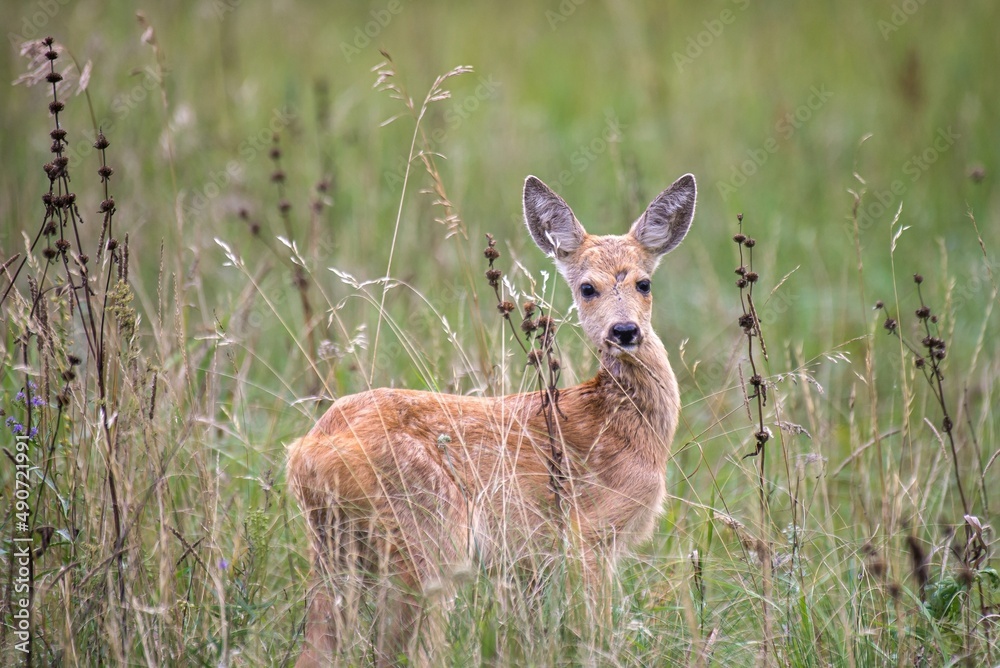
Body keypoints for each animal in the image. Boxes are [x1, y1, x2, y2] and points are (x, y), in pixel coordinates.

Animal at [290, 171, 696, 664]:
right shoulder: (587, 536)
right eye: (587, 288)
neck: (621, 422)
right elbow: (593, 631)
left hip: (334, 547)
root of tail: (310, 451)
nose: (624, 331)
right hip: (429, 536)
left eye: (644, 283)